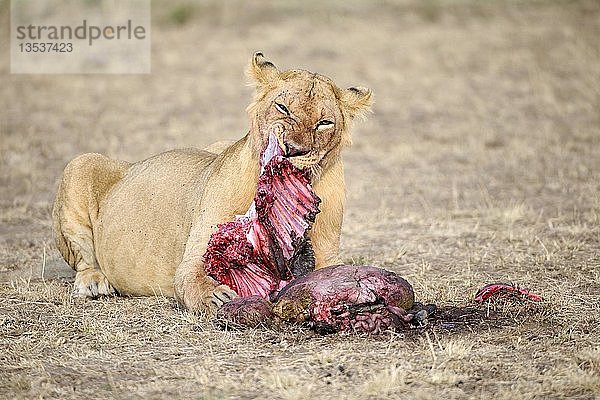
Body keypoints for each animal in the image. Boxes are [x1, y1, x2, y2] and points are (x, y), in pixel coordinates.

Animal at [51, 52, 370, 312]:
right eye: (282, 107)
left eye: (324, 123)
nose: (294, 149)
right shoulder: (195, 255)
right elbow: (192, 279)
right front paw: (216, 296)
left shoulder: (327, 255)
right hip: (80, 164)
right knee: (84, 258)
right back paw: (93, 283)